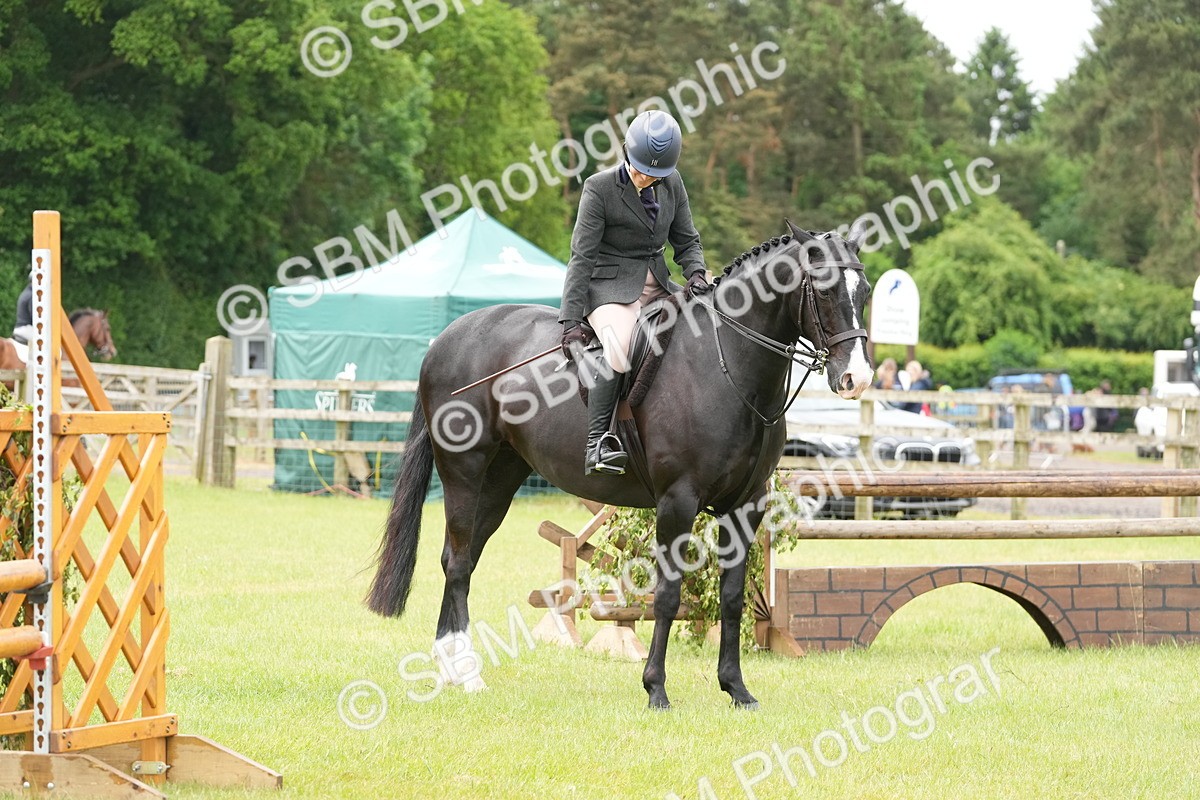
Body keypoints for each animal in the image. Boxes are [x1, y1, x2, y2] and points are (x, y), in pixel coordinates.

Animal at [367, 220, 874, 709]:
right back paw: (468, 676)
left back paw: (450, 668)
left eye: (865, 290)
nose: (857, 378)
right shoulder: (678, 500)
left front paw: (736, 689)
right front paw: (656, 689)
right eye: (823, 291)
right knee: (456, 563)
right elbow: (667, 594)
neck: (726, 363)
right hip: (464, 470)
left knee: (463, 559)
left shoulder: (746, 505)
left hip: (500, 479)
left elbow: (732, 598)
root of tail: (446, 338)